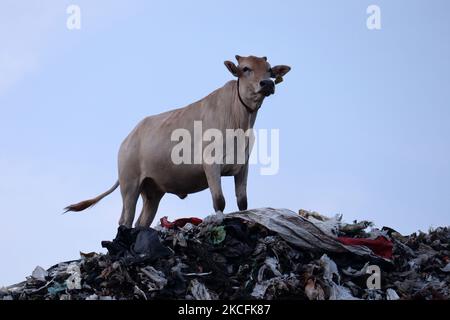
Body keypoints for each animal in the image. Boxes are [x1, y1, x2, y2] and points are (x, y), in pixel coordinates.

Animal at [66, 56, 292, 229]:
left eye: (270, 70)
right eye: (246, 68)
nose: (267, 84)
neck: (239, 121)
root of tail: (129, 137)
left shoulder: (242, 165)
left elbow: (242, 202)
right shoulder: (211, 163)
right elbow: (219, 200)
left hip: (153, 190)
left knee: (142, 222)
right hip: (130, 183)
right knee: (126, 219)